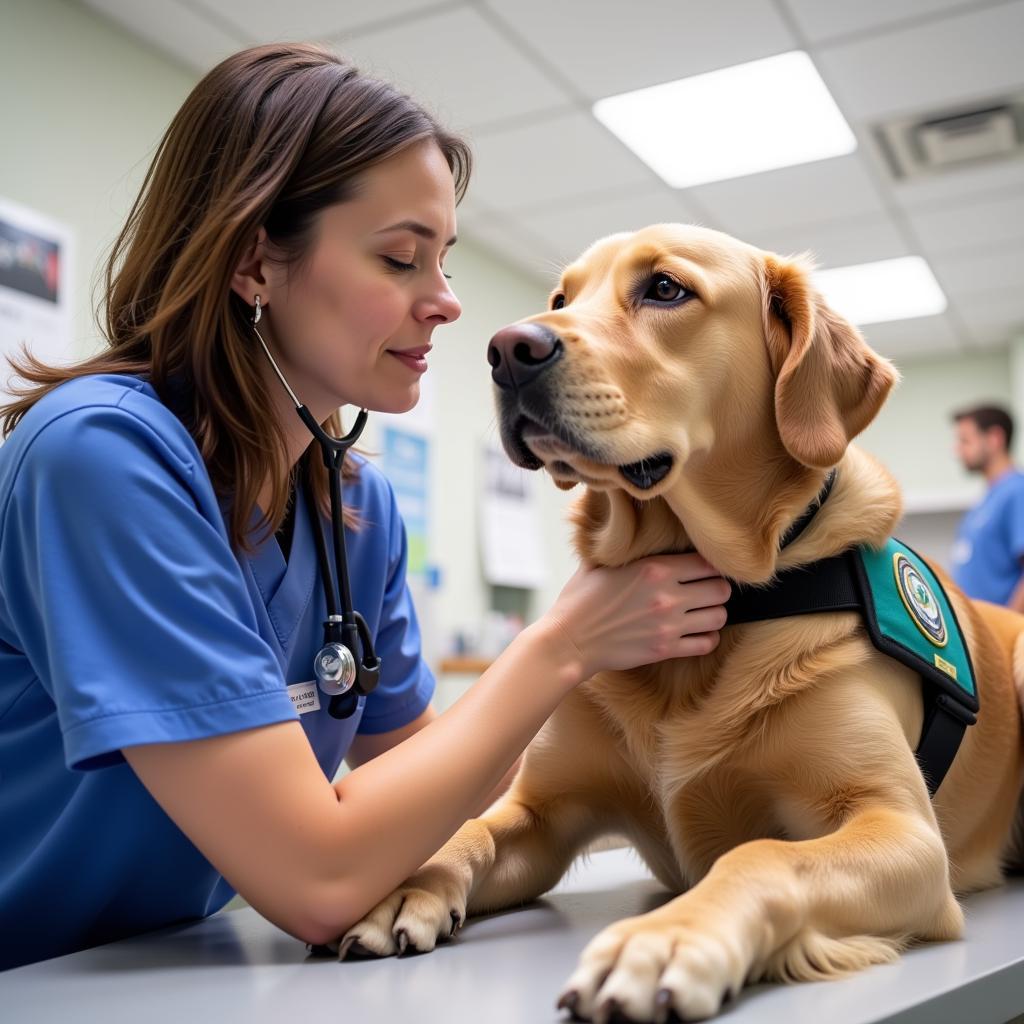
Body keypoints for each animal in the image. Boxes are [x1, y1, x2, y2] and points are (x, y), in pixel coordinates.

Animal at [339, 228, 1019, 1019]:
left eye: (665, 289)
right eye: (561, 299)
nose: (506, 348)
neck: (725, 597)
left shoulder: (900, 828)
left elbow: (760, 855)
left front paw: (662, 939)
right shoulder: (543, 810)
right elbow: (472, 824)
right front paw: (412, 883)